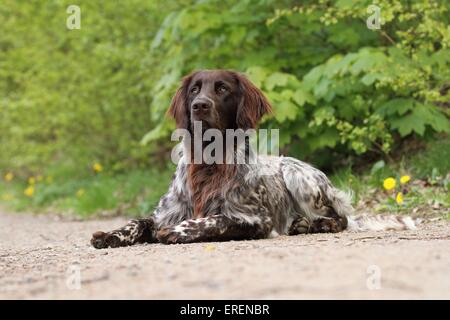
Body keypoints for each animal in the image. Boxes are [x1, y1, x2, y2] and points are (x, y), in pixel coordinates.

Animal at [89, 70, 416, 249]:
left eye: (222, 89)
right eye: (194, 89)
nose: (199, 106)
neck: (209, 163)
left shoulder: (256, 220)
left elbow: (214, 220)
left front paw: (178, 231)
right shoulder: (164, 212)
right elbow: (138, 221)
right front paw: (112, 235)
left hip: (297, 174)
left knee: (341, 218)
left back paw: (311, 224)